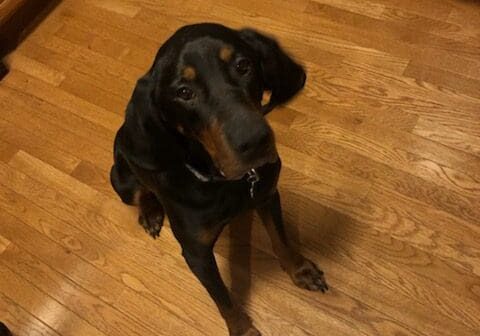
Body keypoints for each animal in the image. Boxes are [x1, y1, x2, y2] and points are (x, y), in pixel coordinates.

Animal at [109, 22, 326, 334]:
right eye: (183, 91)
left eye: (243, 65)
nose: (254, 141)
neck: (225, 182)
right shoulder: (196, 253)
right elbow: (223, 300)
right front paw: (243, 330)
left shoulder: (268, 194)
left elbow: (280, 239)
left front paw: (300, 270)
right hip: (121, 179)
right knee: (142, 192)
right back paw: (150, 212)